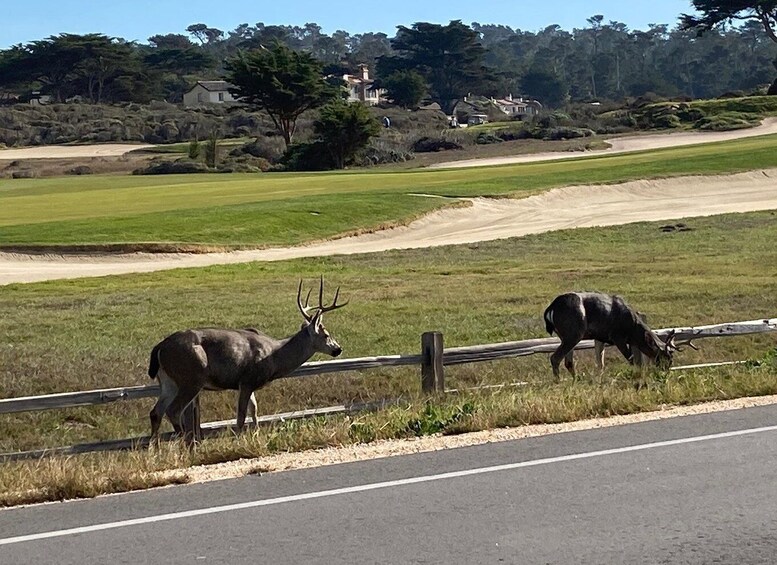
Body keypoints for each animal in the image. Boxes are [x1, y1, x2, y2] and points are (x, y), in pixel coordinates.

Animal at [147, 276, 348, 438]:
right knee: (173, 411)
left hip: (168, 380)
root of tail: (160, 347)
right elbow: (241, 416)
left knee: (156, 412)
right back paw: (186, 446)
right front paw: (239, 440)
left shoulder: (249, 384)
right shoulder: (247, 380)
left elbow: (254, 411)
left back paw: (155, 448)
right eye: (326, 335)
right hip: (191, 377)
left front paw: (256, 436)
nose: (338, 349)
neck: (274, 355)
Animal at [544, 290, 676, 378]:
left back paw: (575, 380)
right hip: (574, 333)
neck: (632, 329)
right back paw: (558, 381)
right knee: (555, 357)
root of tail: (550, 309)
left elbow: (601, 361)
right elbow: (631, 359)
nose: (666, 370)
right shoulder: (617, 336)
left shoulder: (600, 337)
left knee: (568, 362)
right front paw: (638, 375)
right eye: (665, 355)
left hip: (567, 336)